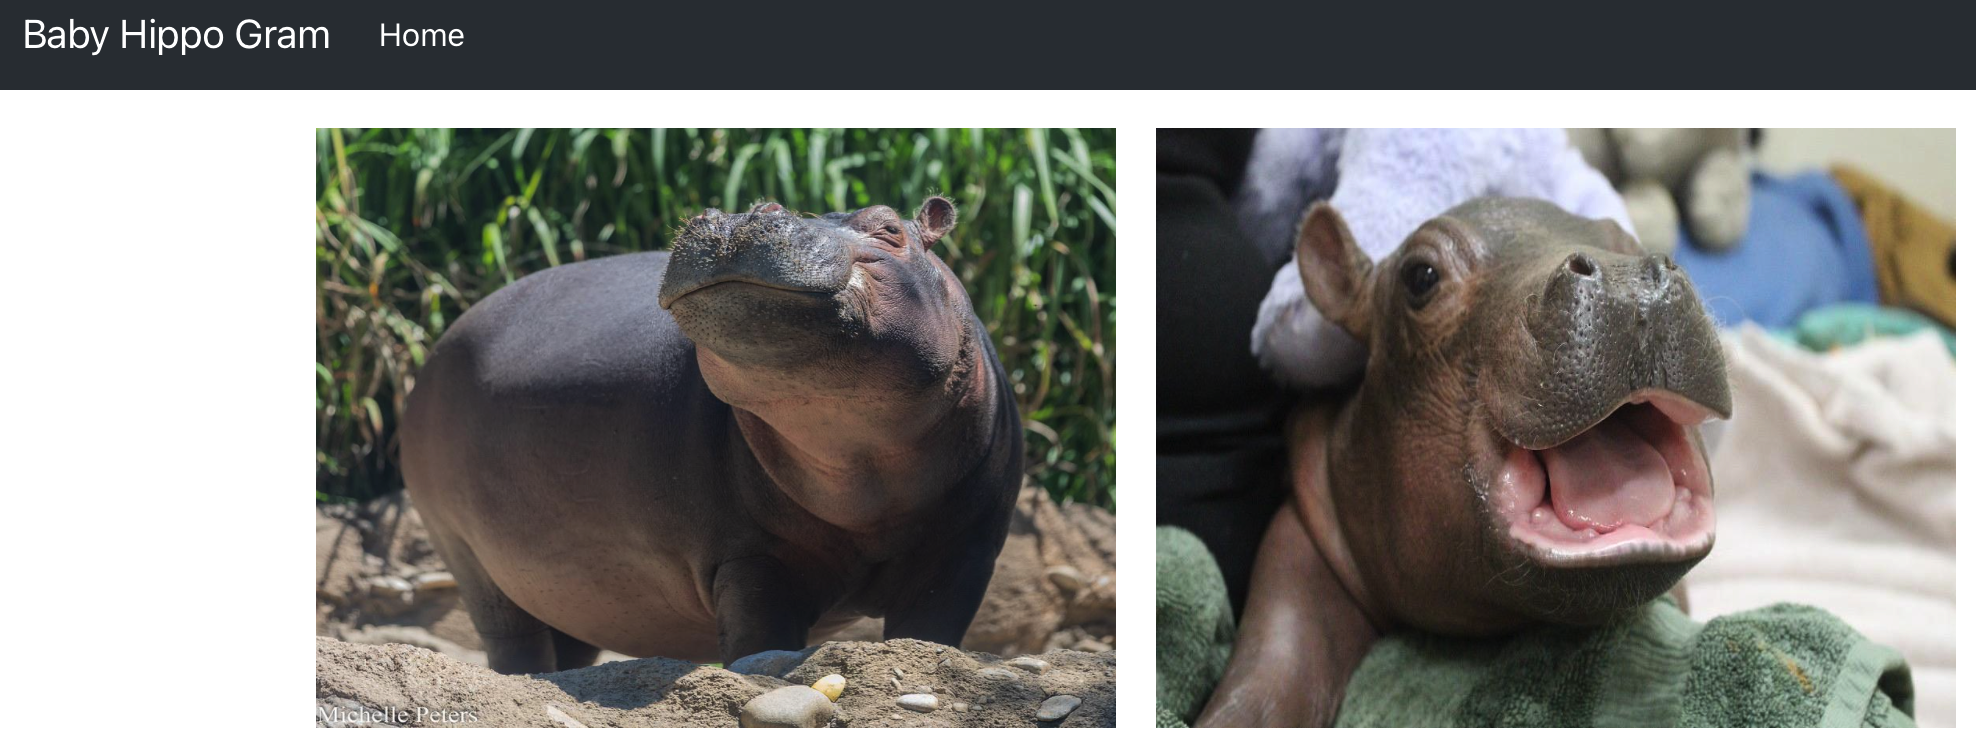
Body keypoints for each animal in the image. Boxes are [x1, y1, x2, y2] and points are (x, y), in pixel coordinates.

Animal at [400, 197, 1024, 673]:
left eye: (891, 229)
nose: (746, 214)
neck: (863, 462)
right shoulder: (751, 557)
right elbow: (758, 642)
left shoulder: (963, 553)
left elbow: (932, 633)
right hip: (465, 552)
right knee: (511, 638)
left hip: (560, 585)